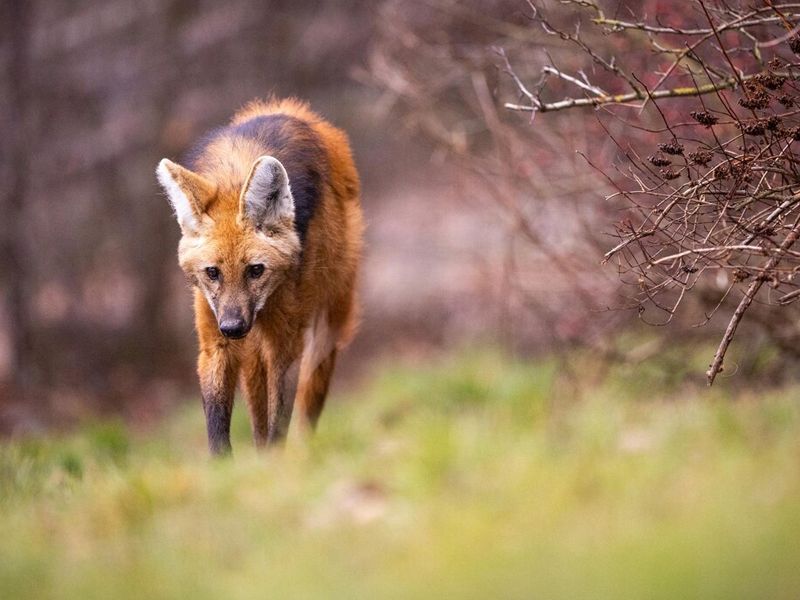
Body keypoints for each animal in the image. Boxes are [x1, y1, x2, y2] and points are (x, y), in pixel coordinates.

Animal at [156, 98, 363, 455]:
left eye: (255, 270)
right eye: (213, 272)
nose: (233, 327)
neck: (236, 172)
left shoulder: (284, 343)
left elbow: (279, 420)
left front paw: (276, 463)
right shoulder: (215, 340)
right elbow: (218, 424)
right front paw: (226, 466)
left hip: (326, 321)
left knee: (307, 401)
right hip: (252, 347)